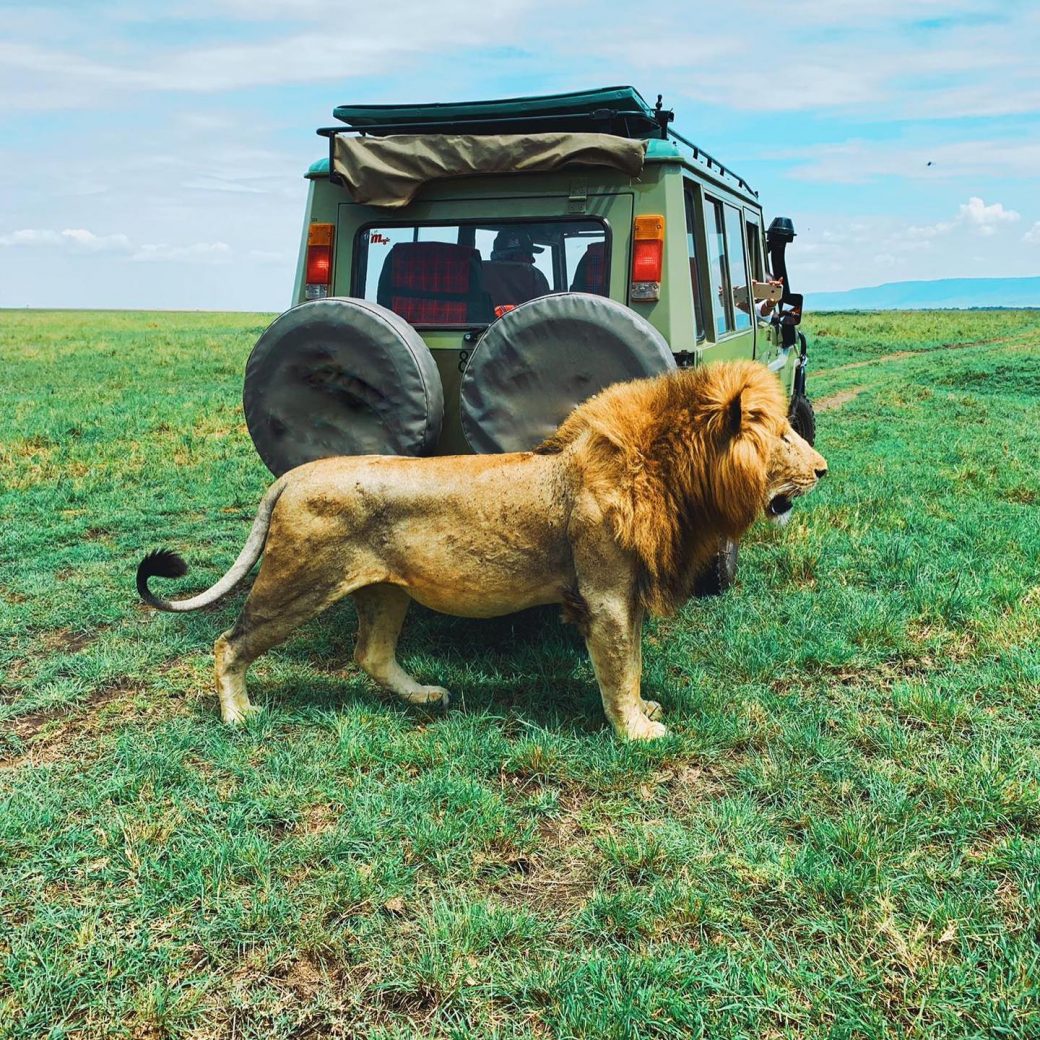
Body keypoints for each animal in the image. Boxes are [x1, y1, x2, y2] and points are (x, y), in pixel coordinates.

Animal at [138, 359, 827, 740]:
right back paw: (238, 716)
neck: (663, 473)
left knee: (370, 655)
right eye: (784, 436)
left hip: (385, 590)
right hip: (298, 580)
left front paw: (642, 709)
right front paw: (636, 731)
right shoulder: (605, 596)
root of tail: (292, 476)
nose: (823, 469)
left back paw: (424, 696)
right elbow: (618, 667)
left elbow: (631, 663)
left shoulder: (625, 596)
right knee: (229, 642)